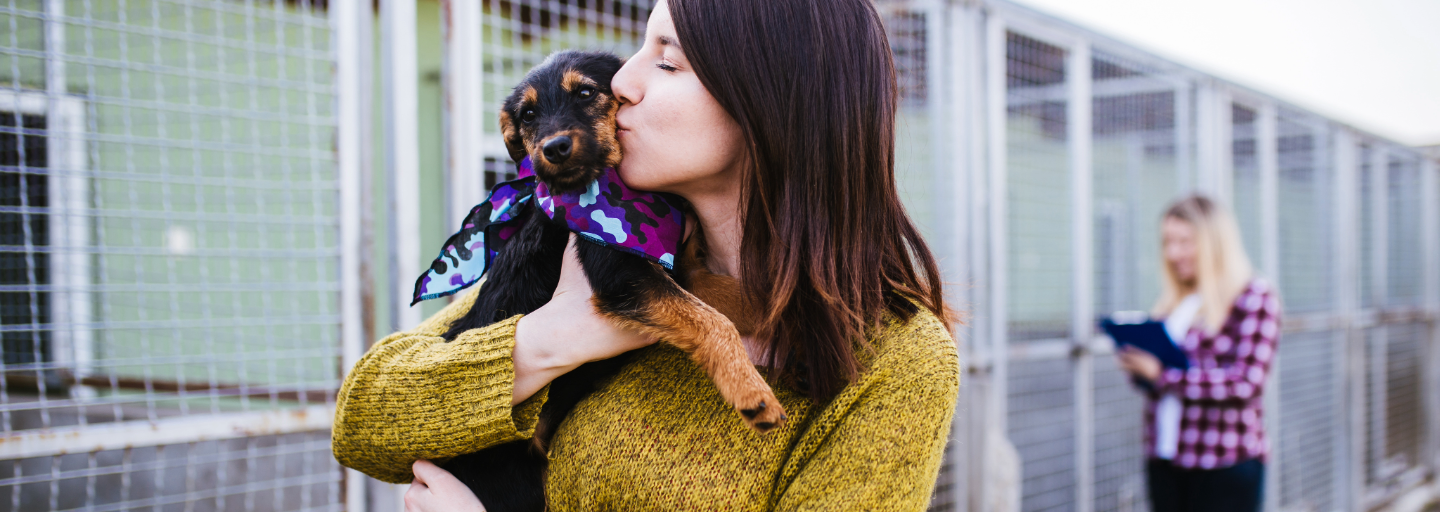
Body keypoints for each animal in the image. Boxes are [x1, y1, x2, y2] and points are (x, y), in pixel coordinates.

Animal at [434, 51, 783, 512]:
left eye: (585, 92)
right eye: (528, 115)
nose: (554, 148)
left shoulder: (681, 269)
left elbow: (734, 297)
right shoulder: (624, 275)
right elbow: (713, 321)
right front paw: (751, 393)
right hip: (514, 486)